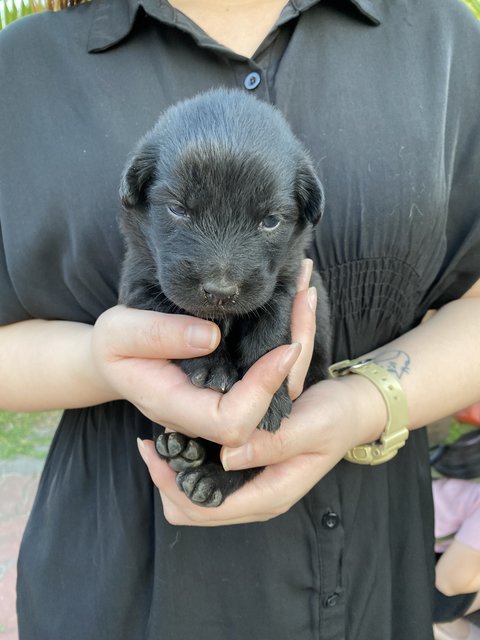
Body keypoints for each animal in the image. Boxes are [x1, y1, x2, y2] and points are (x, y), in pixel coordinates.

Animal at [118, 90, 332, 508]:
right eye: (178, 209)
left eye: (270, 220)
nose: (220, 291)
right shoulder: (140, 284)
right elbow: (178, 308)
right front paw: (212, 364)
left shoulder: (288, 280)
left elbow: (272, 328)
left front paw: (270, 394)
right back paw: (182, 448)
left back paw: (209, 475)